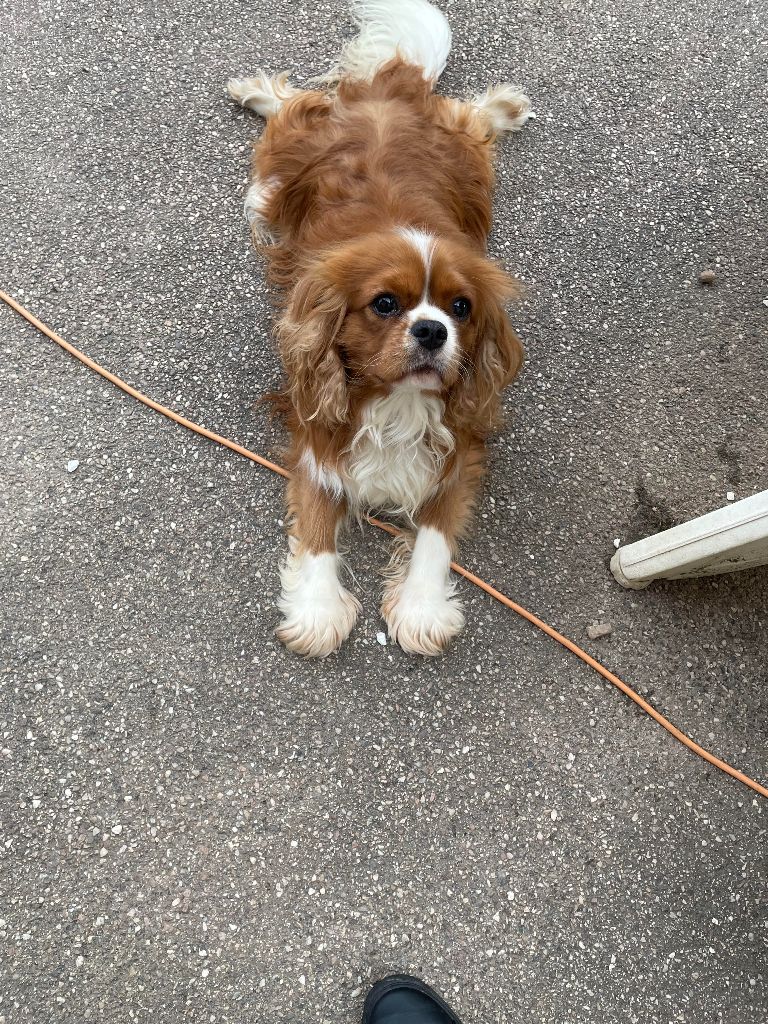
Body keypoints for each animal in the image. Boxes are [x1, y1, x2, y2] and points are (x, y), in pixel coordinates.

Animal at [225, 0, 532, 655]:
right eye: (385, 304)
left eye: (460, 308)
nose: (432, 332)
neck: (396, 402)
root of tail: (387, 98)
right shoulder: (317, 436)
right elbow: (318, 531)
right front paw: (316, 610)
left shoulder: (458, 452)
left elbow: (434, 538)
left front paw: (419, 607)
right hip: (273, 184)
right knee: (294, 104)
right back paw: (254, 92)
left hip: (471, 164)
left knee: (466, 116)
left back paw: (502, 107)